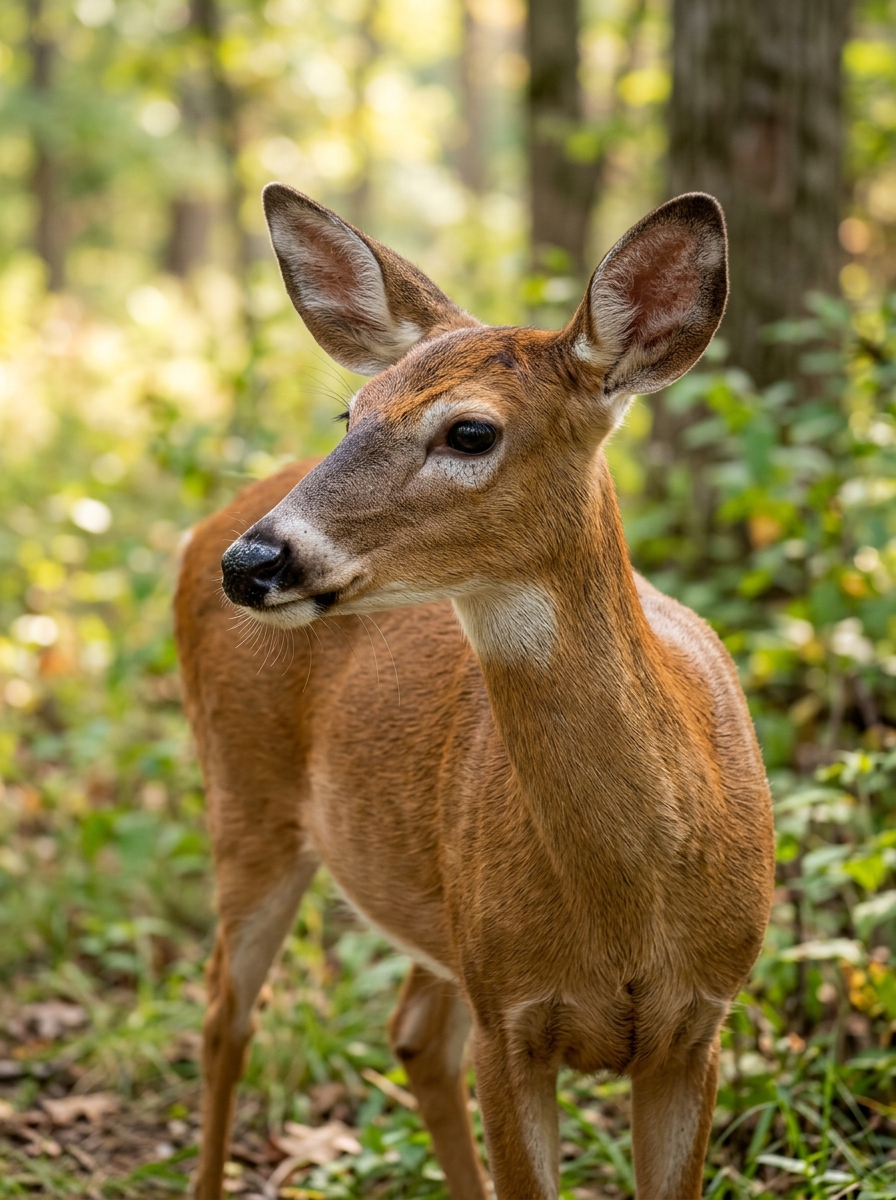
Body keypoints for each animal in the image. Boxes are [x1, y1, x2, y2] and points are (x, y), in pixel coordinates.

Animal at [174, 184, 776, 1200]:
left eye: (470, 431)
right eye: (350, 415)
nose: (252, 562)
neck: (631, 904)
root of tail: (200, 526)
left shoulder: (698, 1029)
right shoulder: (511, 1017)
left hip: (440, 918)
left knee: (412, 1035)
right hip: (245, 799)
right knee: (225, 1010)